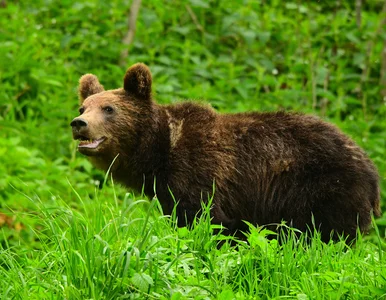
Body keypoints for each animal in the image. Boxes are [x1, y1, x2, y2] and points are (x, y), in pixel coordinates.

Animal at [71, 62, 382, 243]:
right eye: (83, 107)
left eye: (109, 109)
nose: (79, 124)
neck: (160, 153)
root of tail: (372, 168)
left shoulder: (202, 173)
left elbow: (209, 223)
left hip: (325, 187)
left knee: (328, 235)